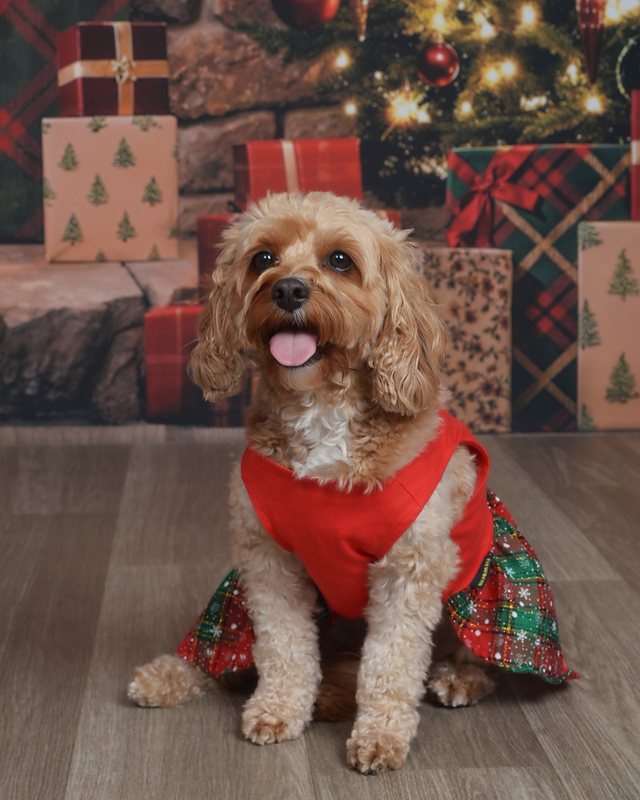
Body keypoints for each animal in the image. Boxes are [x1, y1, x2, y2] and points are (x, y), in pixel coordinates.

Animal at [128, 192, 575, 774]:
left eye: (340, 261)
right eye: (263, 258)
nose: (288, 289)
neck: (323, 410)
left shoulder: (409, 571)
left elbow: (390, 665)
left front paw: (380, 736)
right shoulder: (267, 560)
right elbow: (283, 647)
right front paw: (279, 709)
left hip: (481, 580)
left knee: (475, 652)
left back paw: (458, 678)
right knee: (223, 648)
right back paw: (168, 677)